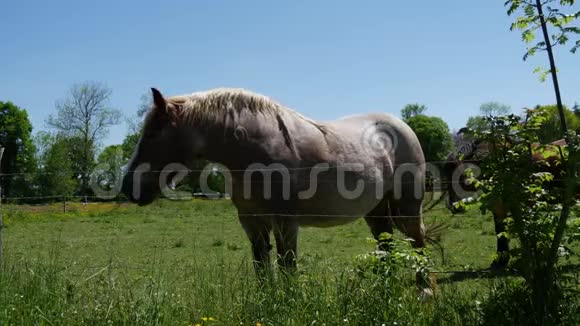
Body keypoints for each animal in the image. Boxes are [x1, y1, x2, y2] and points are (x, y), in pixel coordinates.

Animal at [122, 88, 430, 290]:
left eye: (153, 133)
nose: (128, 187)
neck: (256, 150)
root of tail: (401, 126)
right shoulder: (251, 221)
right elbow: (261, 265)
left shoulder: (285, 221)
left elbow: (287, 265)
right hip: (376, 211)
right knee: (386, 244)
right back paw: (385, 288)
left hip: (408, 206)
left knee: (417, 242)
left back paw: (424, 290)